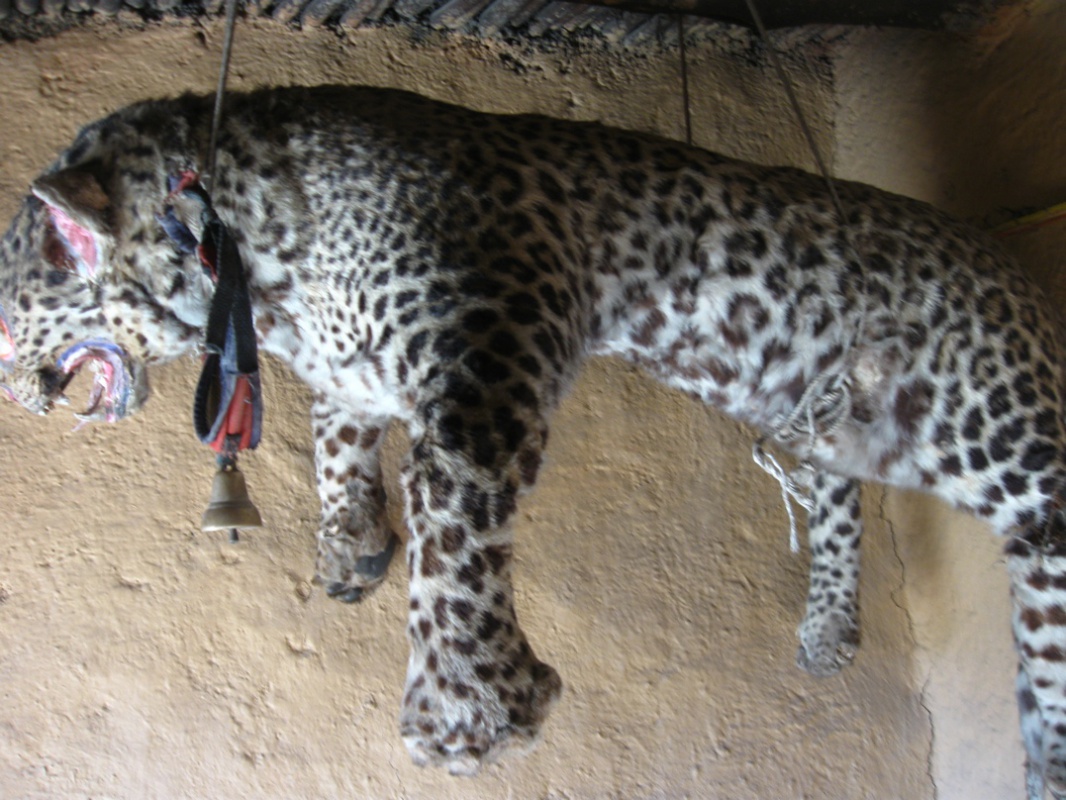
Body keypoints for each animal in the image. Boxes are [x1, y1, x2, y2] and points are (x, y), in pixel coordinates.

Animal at [1, 84, 1064, 798]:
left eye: (9, 313)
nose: (11, 387)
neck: (251, 272)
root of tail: (1010, 260)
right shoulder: (356, 367)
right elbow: (338, 439)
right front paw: (351, 548)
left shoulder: (489, 351)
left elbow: (451, 531)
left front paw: (471, 706)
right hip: (851, 421)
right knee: (846, 494)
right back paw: (836, 632)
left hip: (998, 427)